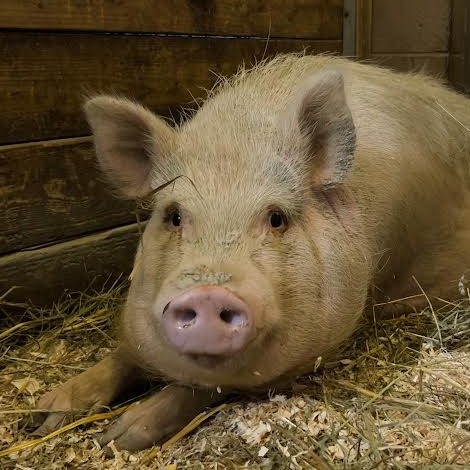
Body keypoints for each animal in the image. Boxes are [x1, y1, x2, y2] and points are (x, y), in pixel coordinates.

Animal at [33, 54, 470, 451]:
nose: (208, 294)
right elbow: (124, 354)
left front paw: (121, 436)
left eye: (276, 218)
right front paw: (47, 414)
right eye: (174, 216)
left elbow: (209, 386)